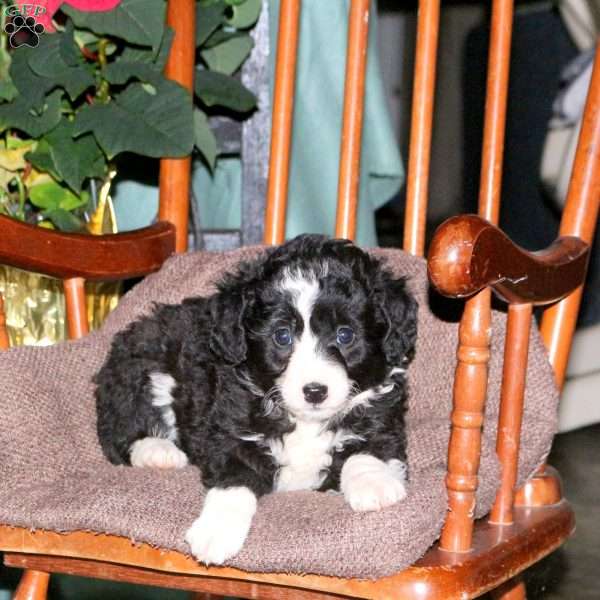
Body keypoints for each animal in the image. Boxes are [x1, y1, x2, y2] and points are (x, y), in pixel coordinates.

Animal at [96, 233, 420, 564]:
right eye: (282, 336)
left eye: (345, 335)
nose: (315, 391)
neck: (303, 422)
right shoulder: (228, 432)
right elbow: (234, 483)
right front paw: (217, 530)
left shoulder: (383, 417)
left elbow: (368, 449)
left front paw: (374, 484)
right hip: (141, 367)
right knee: (119, 429)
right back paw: (157, 450)